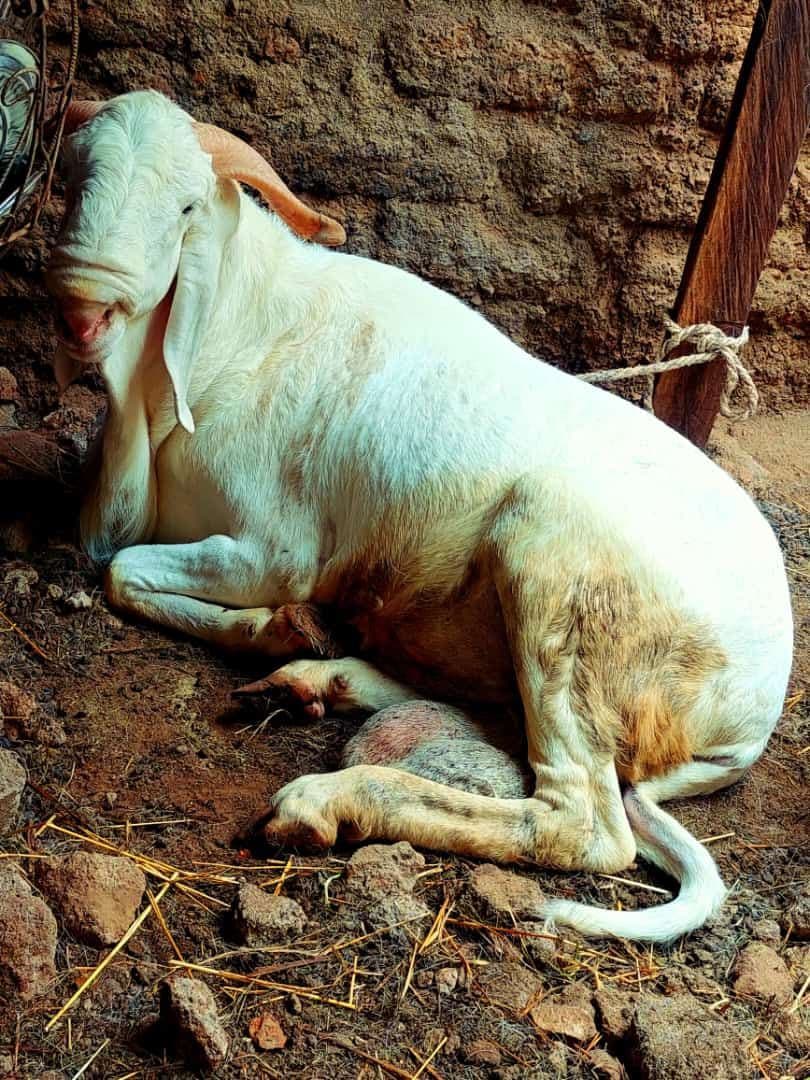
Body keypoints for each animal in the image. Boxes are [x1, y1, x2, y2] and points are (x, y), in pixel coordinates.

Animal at [45, 90, 793, 942]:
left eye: (185, 207)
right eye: (72, 181)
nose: (82, 313)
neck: (234, 333)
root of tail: (753, 716)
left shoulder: (273, 549)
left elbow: (121, 572)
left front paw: (274, 626)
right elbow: (119, 567)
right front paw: (284, 635)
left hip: (555, 572)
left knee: (583, 824)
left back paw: (330, 796)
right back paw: (312, 681)